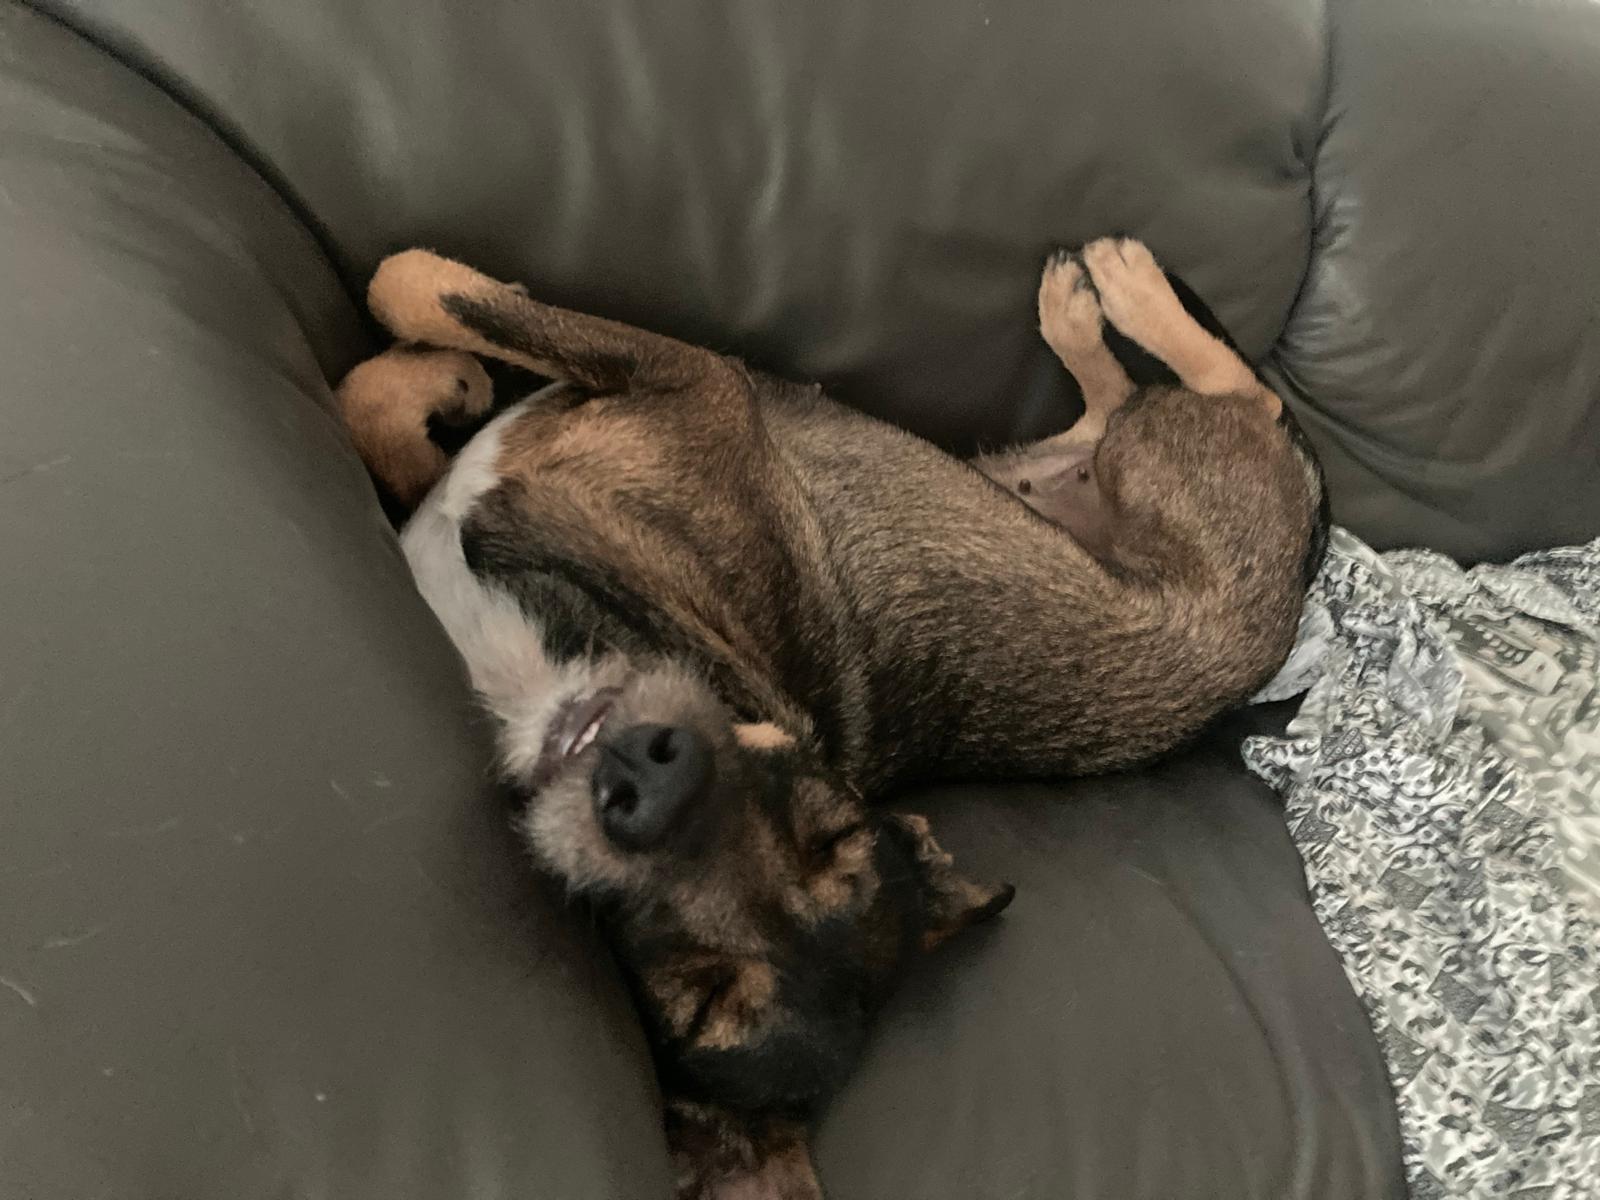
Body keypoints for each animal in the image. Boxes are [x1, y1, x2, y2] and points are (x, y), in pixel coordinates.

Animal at [335, 237, 1326, 1199]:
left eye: (700, 1000)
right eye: (833, 829)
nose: (650, 782)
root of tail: (1287, 606)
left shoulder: (694, 378)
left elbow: (415, 286)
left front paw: (445, 345)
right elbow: (384, 383)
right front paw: (445, 384)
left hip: (1158, 463)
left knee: (1244, 395)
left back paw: (1122, 287)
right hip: (1040, 476)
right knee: (1126, 408)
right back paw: (1079, 310)